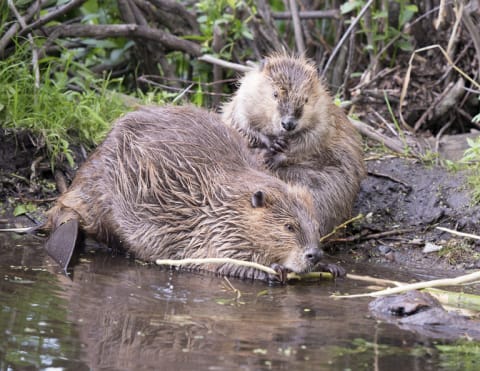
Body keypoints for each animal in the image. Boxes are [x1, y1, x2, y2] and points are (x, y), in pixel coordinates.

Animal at [46, 104, 344, 282]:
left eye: (316, 225)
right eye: (289, 227)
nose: (313, 254)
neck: (225, 200)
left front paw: (332, 266)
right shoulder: (212, 229)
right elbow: (216, 261)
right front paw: (274, 271)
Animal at [223, 53, 366, 237]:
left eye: (305, 99)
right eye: (275, 94)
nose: (288, 123)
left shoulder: (324, 115)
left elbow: (312, 139)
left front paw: (276, 156)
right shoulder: (243, 99)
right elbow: (241, 124)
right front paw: (272, 144)